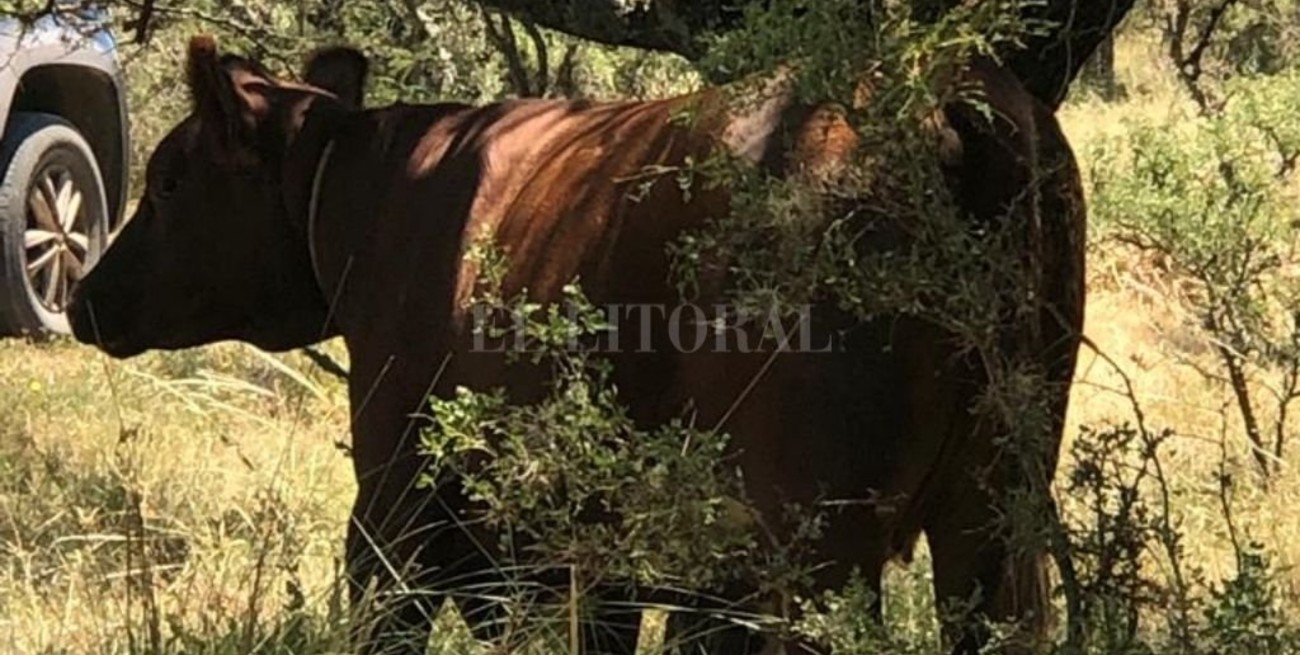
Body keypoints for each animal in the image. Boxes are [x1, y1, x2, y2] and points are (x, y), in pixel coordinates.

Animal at [69, 35, 1084, 655]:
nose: (85, 297)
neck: (378, 190)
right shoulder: (597, 558)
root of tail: (946, 103)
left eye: (167, 178)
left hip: (809, 540)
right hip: (993, 517)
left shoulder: (394, 501)